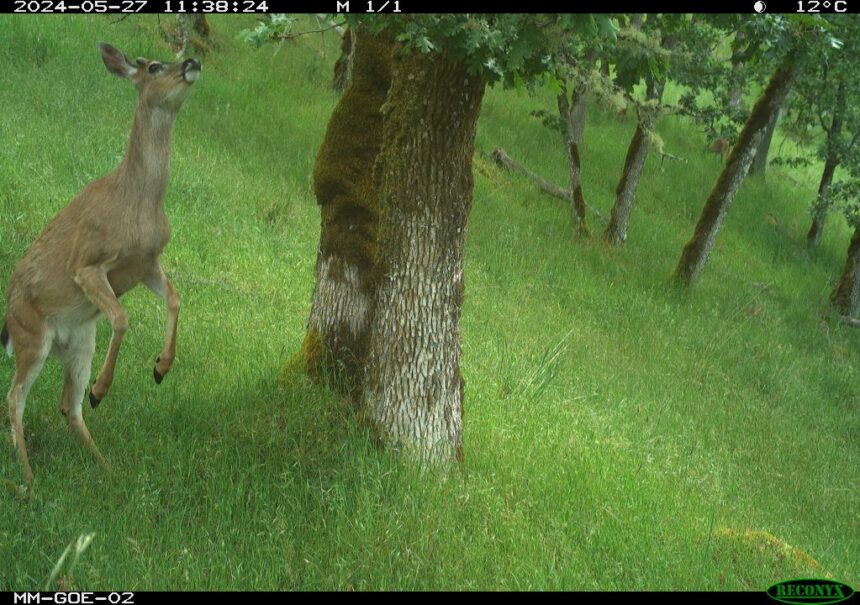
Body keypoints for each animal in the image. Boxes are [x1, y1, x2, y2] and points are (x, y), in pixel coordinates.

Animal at [2, 43, 201, 483]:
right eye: (154, 66)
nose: (193, 62)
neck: (136, 202)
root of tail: (7, 321)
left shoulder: (146, 263)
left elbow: (176, 298)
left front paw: (161, 367)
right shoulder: (89, 264)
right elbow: (123, 318)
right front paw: (103, 388)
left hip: (79, 341)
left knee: (66, 405)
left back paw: (107, 468)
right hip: (31, 335)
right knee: (14, 397)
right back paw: (29, 479)